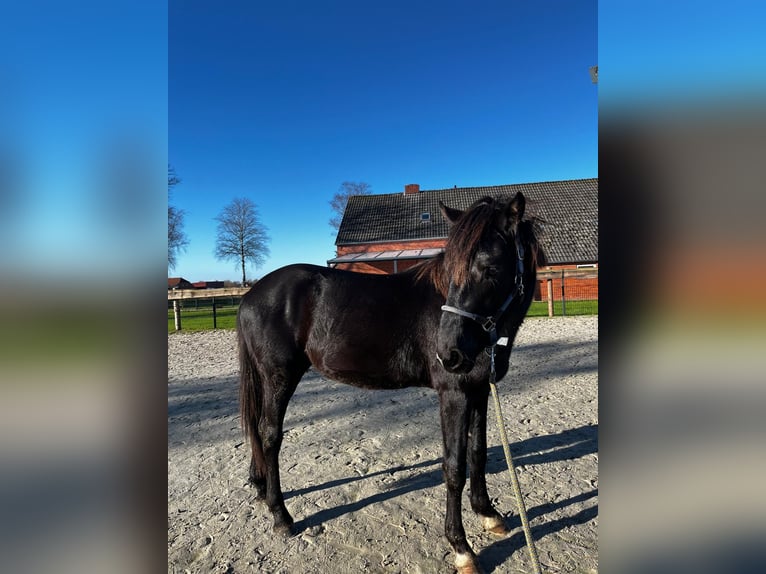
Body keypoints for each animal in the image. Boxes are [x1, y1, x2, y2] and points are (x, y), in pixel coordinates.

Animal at [237, 195, 544, 574]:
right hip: (278, 377)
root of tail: (251, 295)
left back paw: (262, 489)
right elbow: (454, 467)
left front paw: (488, 515)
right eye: (451, 268)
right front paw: (461, 547)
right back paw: (281, 516)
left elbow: (478, 453)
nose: (448, 353)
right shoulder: (454, 395)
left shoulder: (480, 391)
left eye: (490, 268)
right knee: (269, 434)